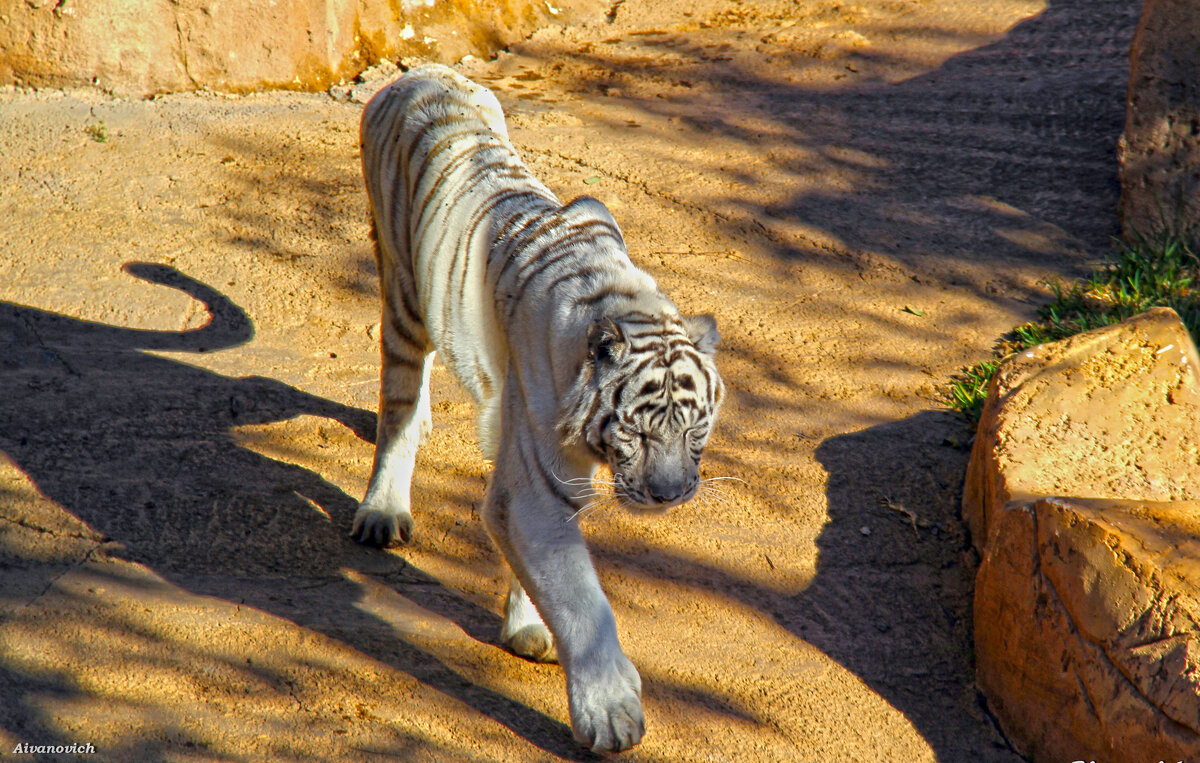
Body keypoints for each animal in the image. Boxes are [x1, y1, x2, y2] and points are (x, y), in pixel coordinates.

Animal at [350, 64, 724, 753]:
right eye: (638, 431)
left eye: (695, 431)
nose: (669, 494)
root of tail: (421, 72)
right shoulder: (537, 479)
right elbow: (578, 594)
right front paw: (611, 714)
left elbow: (543, 568)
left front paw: (527, 626)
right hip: (404, 295)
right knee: (399, 407)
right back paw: (383, 509)